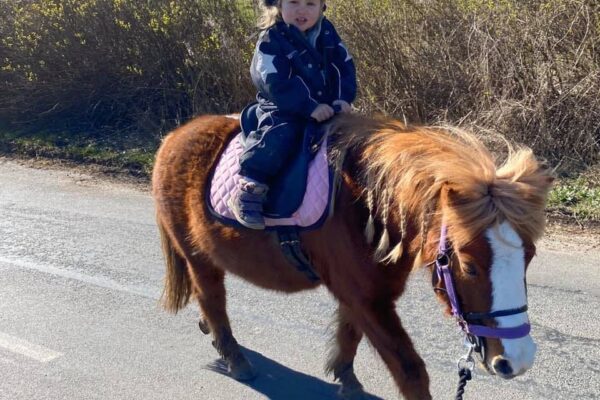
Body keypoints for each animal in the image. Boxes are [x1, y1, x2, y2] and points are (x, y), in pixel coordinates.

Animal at [152, 112, 556, 400]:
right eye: (469, 266)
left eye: (529, 257)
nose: (517, 360)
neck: (366, 206)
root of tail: (173, 138)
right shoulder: (367, 299)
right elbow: (410, 370)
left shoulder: (363, 296)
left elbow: (350, 333)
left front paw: (346, 379)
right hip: (197, 256)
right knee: (212, 298)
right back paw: (233, 356)